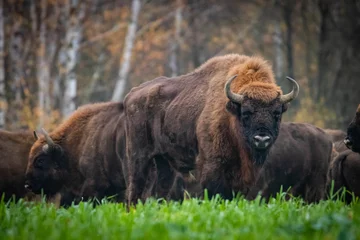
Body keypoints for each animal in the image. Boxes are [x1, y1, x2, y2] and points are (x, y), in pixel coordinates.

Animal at [124, 53, 298, 203]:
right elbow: (214, 192)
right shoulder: (212, 166)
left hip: (163, 161)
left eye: (277, 113)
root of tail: (131, 95)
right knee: (135, 188)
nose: (261, 139)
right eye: (246, 112)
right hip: (138, 157)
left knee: (158, 191)